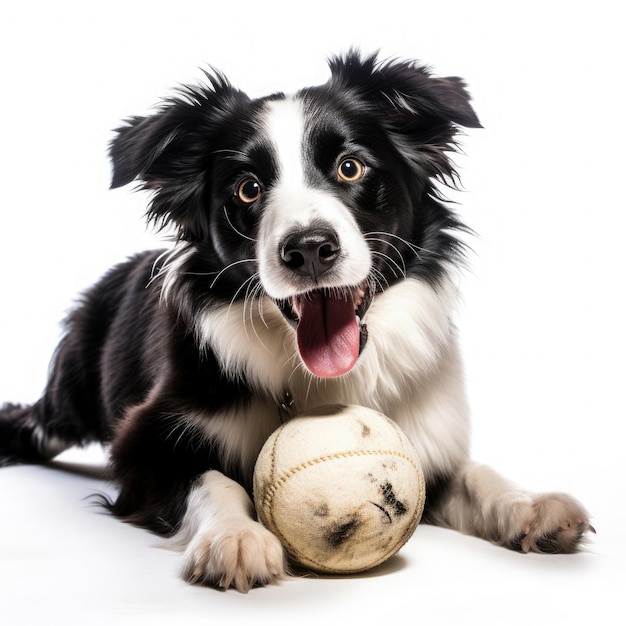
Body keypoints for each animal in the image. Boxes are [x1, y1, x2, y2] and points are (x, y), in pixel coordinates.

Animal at [0, 50, 588, 588]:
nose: (308, 249)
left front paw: (532, 505)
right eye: (248, 188)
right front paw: (234, 537)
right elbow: (212, 479)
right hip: (70, 392)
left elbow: (474, 475)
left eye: (350, 167)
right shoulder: (144, 441)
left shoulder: (428, 441)